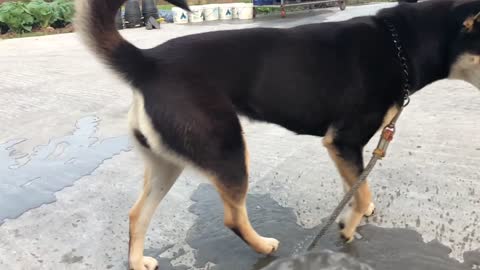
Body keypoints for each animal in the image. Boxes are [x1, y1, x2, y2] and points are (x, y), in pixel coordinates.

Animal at [73, 0, 478, 268]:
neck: (400, 45)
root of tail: (148, 63)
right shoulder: (344, 140)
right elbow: (360, 191)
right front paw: (348, 226)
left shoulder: (347, 149)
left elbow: (359, 184)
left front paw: (358, 209)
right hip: (227, 150)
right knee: (233, 218)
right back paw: (264, 248)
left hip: (167, 163)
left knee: (136, 215)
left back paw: (138, 261)